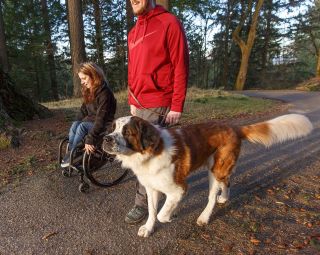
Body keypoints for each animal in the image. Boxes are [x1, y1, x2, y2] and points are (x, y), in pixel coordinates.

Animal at [102, 113, 312, 237]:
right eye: (112, 129)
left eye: (126, 132)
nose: (105, 138)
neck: (149, 153)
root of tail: (234, 128)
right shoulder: (151, 187)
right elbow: (153, 211)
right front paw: (148, 227)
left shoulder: (179, 188)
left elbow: (162, 214)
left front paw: (170, 216)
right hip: (220, 169)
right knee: (227, 181)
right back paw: (224, 198)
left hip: (215, 170)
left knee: (212, 196)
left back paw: (204, 216)